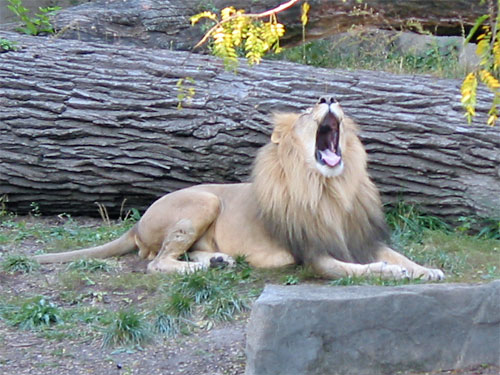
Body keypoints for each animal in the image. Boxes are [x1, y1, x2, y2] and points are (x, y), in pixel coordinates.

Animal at [33, 97, 444, 282]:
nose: (329, 98)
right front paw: (397, 273)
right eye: (307, 112)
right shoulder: (314, 256)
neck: (331, 187)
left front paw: (428, 270)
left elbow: (398, 256)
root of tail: (136, 223)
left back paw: (218, 261)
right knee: (156, 262)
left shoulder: (361, 238)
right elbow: (366, 270)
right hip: (204, 199)